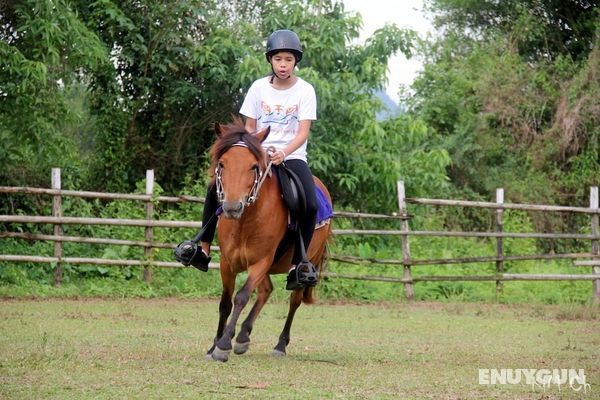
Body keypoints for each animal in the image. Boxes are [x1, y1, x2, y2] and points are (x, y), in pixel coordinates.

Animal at [206, 117, 332, 360]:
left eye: (254, 166)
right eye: (222, 164)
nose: (232, 207)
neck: (245, 222)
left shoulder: (260, 262)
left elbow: (241, 296)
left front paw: (224, 344)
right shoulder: (227, 262)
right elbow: (225, 302)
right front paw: (214, 345)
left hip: (303, 264)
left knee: (294, 300)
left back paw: (280, 345)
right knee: (266, 290)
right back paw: (243, 336)